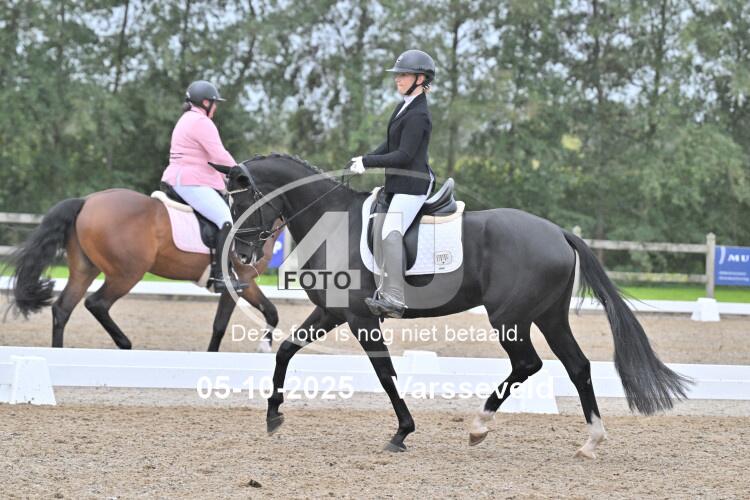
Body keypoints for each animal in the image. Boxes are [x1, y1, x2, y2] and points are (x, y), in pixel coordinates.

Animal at [5, 187, 279, 352]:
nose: (247, 253)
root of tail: (86, 201)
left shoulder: (246, 281)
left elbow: (270, 312)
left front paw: (264, 346)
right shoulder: (238, 281)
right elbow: (221, 325)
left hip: (85, 270)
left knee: (63, 309)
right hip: (127, 274)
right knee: (96, 303)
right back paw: (125, 344)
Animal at [219, 153, 690, 457]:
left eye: (245, 200)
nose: (241, 256)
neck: (332, 221)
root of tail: (558, 232)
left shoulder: (360, 317)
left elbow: (385, 374)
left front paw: (402, 433)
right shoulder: (333, 313)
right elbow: (285, 350)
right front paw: (273, 416)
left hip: (510, 318)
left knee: (528, 364)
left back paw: (479, 427)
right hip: (548, 316)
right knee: (577, 366)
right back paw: (591, 442)